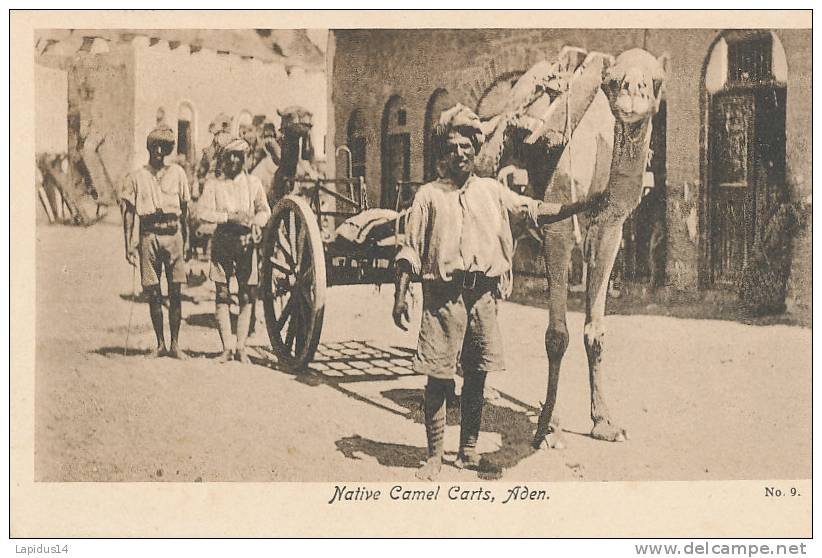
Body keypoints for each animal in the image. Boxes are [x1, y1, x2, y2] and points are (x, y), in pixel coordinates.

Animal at [476, 47, 668, 450]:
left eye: (657, 80)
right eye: (613, 80)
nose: (635, 91)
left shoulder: (610, 229)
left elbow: (595, 331)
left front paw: (605, 423)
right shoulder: (558, 226)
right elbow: (556, 336)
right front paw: (548, 427)